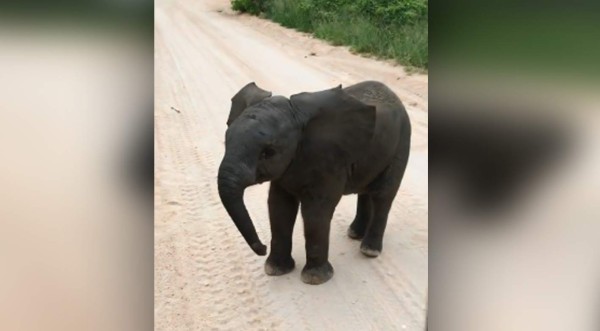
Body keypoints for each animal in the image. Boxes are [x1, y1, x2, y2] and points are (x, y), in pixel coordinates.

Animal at [218, 81, 410, 286]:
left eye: (268, 152)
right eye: (226, 141)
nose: (262, 248)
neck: (295, 117)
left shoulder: (329, 159)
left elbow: (315, 210)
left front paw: (315, 279)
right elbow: (279, 206)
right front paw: (276, 270)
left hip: (401, 141)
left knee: (383, 195)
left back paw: (369, 251)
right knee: (365, 191)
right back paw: (354, 234)